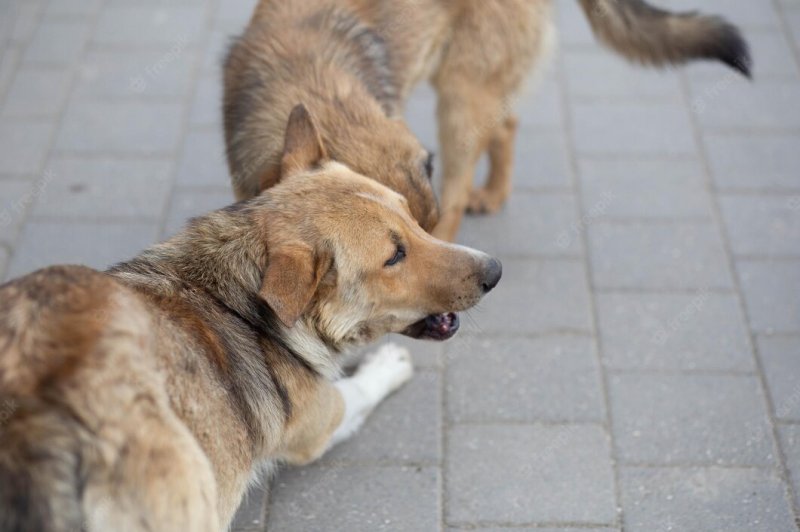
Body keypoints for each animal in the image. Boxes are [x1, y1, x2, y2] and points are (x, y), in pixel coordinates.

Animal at [0, 107, 500, 532]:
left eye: (411, 217)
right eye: (394, 256)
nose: (495, 271)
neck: (238, 304)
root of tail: (34, 423)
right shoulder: (321, 422)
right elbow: (359, 388)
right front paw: (387, 366)